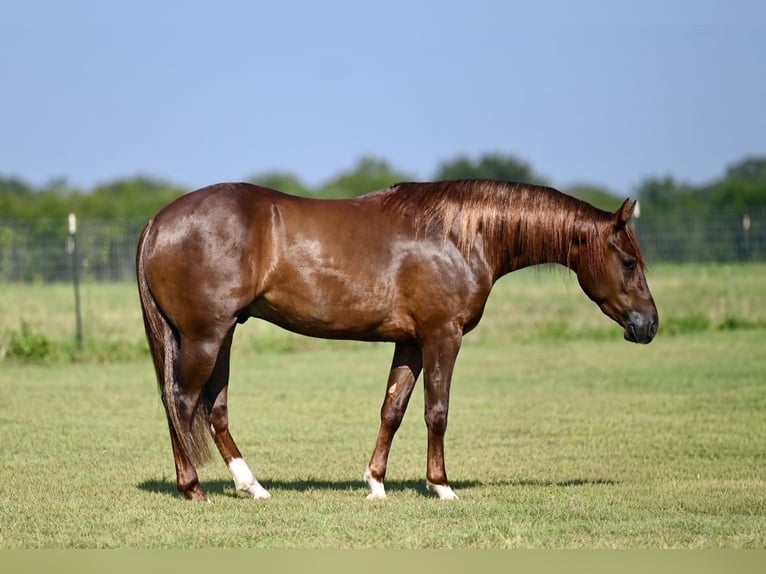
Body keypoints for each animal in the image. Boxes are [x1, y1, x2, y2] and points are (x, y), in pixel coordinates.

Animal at [136, 179, 658, 502]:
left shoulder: (410, 343)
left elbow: (393, 409)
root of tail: (158, 220)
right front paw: (442, 486)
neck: (458, 234)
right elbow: (436, 411)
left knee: (214, 409)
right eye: (629, 261)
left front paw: (376, 483)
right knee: (181, 402)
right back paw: (193, 487)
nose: (648, 325)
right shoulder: (443, 336)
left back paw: (253, 486)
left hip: (222, 335)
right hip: (205, 336)